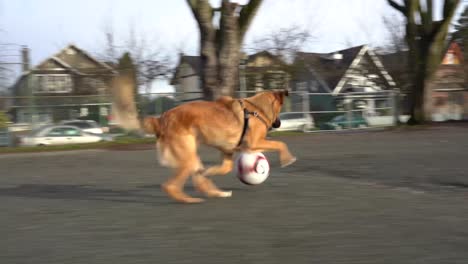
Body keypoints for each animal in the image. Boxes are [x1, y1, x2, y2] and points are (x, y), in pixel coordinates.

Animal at [143, 89, 296, 203]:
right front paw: (288, 159)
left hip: (192, 156)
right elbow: (280, 143)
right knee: (170, 186)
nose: (279, 124)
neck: (257, 109)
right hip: (188, 158)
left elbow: (225, 168)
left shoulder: (228, 151)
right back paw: (190, 200)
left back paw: (218, 192)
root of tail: (161, 120)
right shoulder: (254, 143)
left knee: (198, 180)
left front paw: (210, 171)